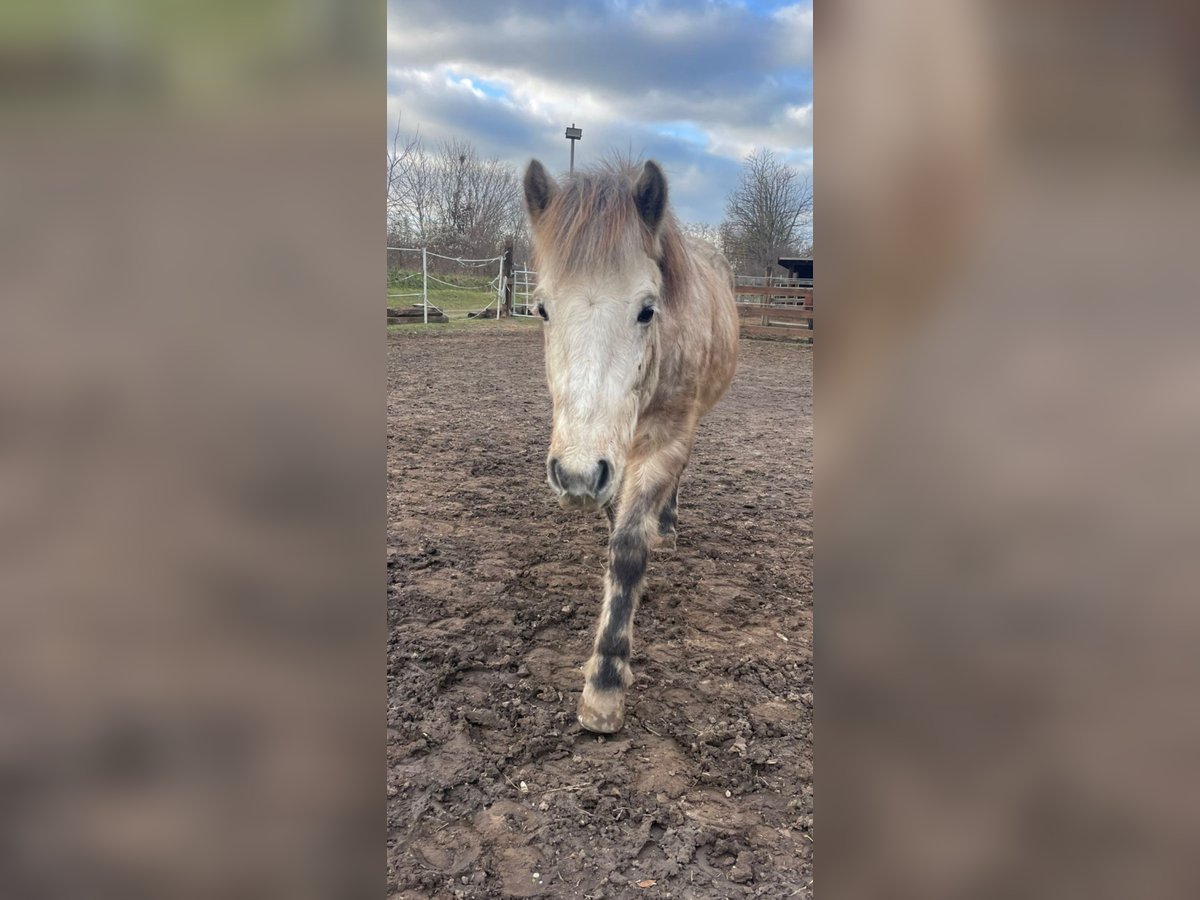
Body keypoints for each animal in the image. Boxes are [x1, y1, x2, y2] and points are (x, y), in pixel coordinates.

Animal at [525, 157, 739, 734]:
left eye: (647, 310)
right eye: (541, 309)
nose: (575, 475)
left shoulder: (664, 442)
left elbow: (627, 550)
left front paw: (604, 684)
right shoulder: (609, 465)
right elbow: (613, 524)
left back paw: (667, 526)